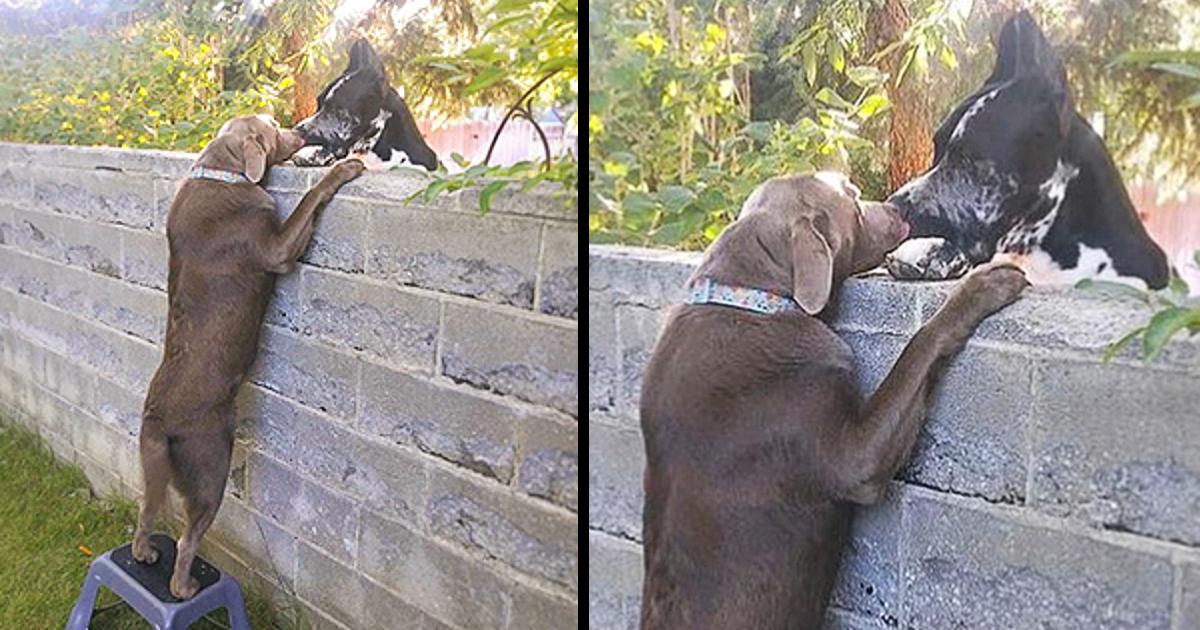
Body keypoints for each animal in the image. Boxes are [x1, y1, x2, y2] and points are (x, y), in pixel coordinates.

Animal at [132, 114, 362, 600]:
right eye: (274, 128)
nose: (301, 131)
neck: (222, 170)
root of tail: (159, 421)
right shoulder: (276, 248)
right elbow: (311, 198)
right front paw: (345, 167)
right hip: (211, 465)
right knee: (188, 537)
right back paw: (184, 588)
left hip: (152, 466)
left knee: (147, 510)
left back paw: (144, 554)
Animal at [643, 172, 1027, 628]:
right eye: (854, 198)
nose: (898, 206)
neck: (756, 298)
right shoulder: (856, 458)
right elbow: (920, 344)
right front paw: (985, 285)